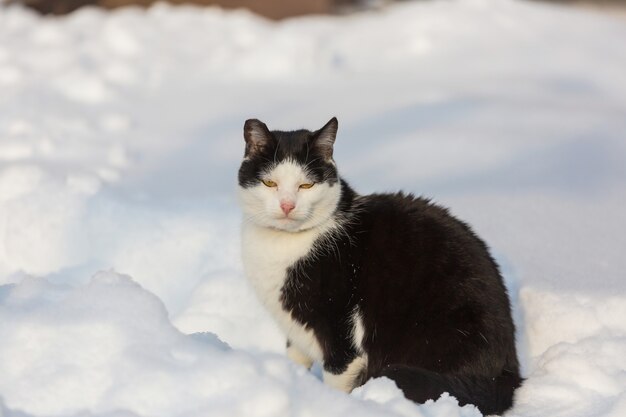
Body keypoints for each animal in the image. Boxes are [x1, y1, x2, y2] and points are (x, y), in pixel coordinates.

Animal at [236, 116, 520, 412]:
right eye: (270, 183)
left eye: (306, 185)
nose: (287, 206)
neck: (281, 247)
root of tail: (508, 370)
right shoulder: (295, 331)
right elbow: (295, 360)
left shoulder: (341, 333)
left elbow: (338, 378)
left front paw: (334, 405)